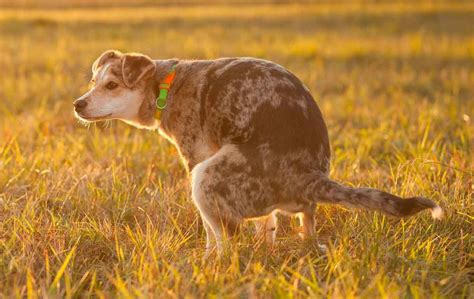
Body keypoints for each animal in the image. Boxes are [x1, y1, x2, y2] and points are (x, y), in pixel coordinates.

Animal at [74, 49, 444, 255]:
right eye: (93, 82)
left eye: (111, 85)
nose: (77, 104)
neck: (166, 85)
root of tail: (308, 176)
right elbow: (267, 225)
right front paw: (265, 245)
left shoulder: (196, 157)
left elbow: (211, 233)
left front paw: (207, 258)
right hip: (297, 208)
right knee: (306, 226)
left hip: (206, 177)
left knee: (228, 240)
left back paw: (217, 265)